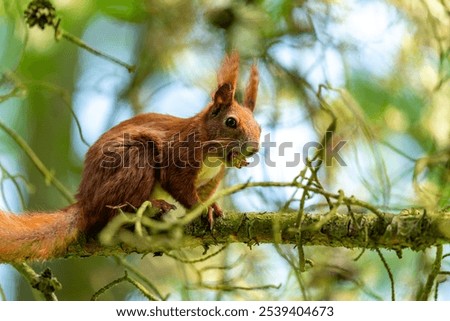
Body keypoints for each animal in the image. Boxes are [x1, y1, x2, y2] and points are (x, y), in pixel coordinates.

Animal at [0, 52, 260, 262]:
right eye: (230, 122)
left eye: (258, 126)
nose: (255, 148)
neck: (213, 157)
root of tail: (87, 200)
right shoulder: (181, 152)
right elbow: (178, 184)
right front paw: (201, 208)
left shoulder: (210, 180)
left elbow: (204, 193)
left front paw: (212, 206)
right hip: (135, 161)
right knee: (115, 210)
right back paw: (149, 208)